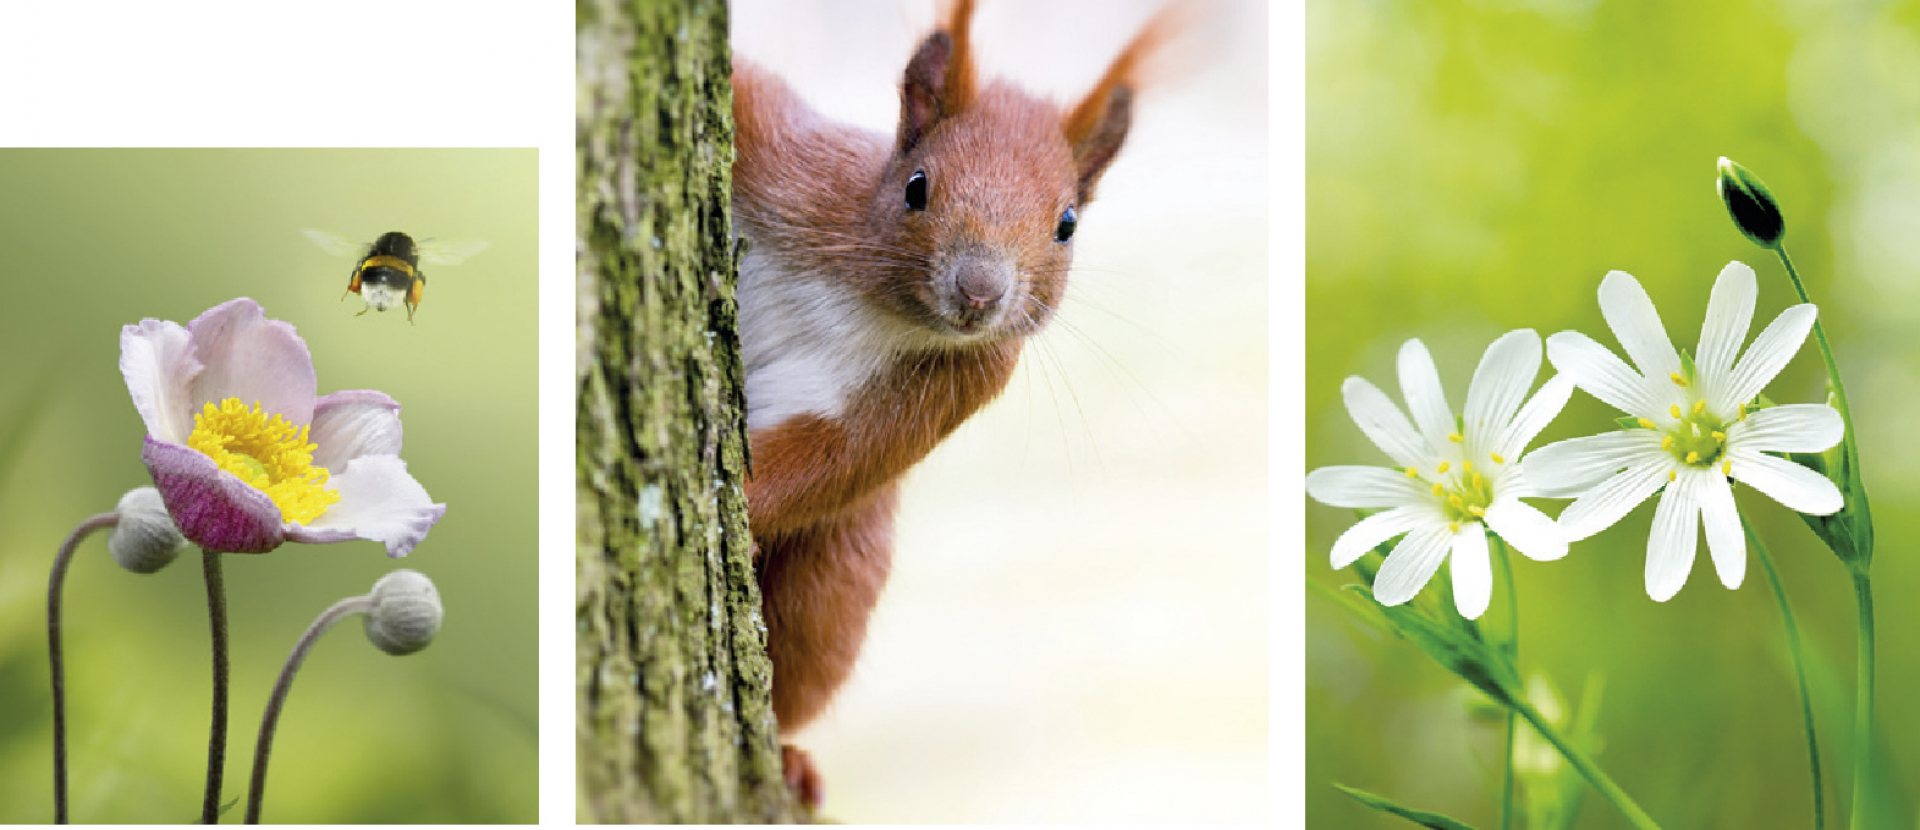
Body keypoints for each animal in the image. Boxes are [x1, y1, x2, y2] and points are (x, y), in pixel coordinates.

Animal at [725, 0, 1159, 803]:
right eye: (916, 186)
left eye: (1067, 225)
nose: (980, 291)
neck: (875, 299)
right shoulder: (795, 164)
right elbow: (747, 91)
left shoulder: (960, 380)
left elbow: (834, 459)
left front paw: (731, 491)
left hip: (836, 578)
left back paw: (790, 758)